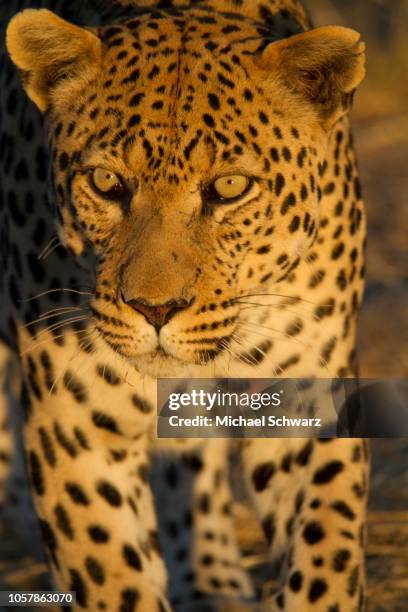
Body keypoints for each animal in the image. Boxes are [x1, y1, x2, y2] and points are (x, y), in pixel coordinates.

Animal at [0, 1, 370, 612]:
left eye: (229, 187)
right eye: (106, 182)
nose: (155, 309)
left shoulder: (307, 399)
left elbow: (325, 556)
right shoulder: (77, 421)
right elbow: (110, 573)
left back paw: (211, 578)